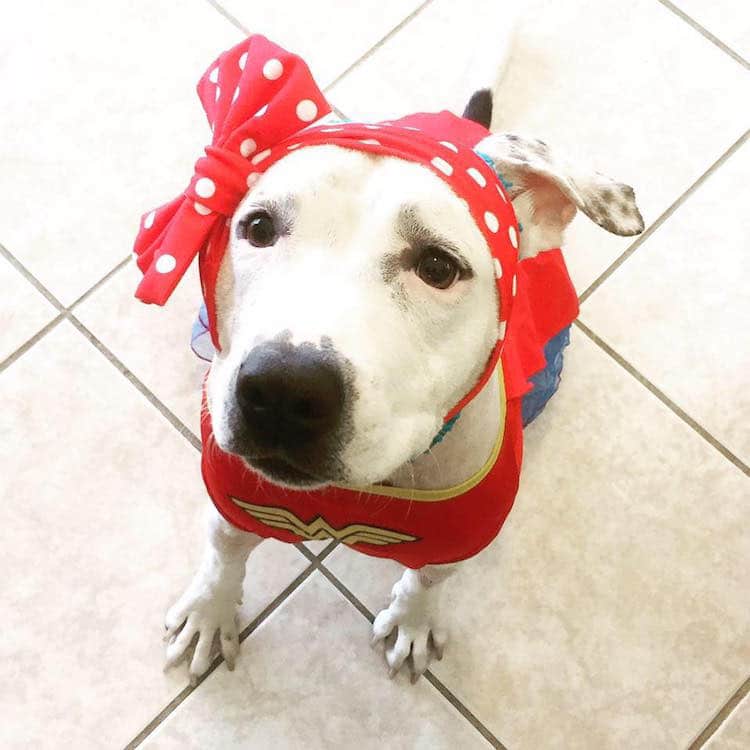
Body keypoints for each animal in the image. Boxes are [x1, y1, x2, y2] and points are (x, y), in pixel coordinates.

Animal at [137, 29, 648, 688]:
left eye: (437, 266)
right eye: (258, 226)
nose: (283, 389)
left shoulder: (459, 532)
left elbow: (428, 578)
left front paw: (412, 621)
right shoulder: (233, 491)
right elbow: (224, 550)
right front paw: (210, 608)